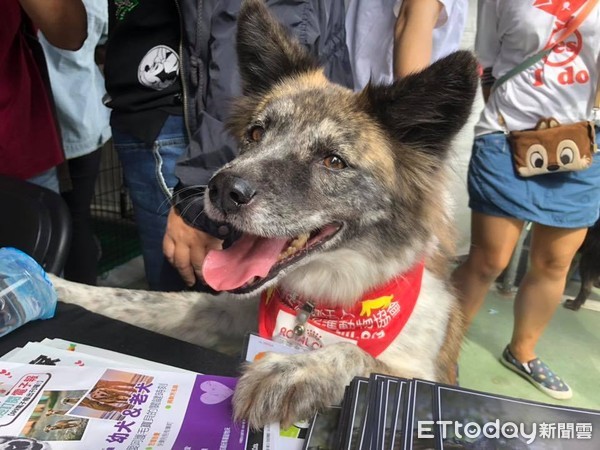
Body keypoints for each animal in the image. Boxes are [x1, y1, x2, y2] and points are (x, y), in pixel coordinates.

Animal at [52, 0, 478, 428]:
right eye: (256, 133)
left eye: (334, 161)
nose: (222, 189)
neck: (322, 304)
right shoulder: (224, 309)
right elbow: (143, 301)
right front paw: (52, 286)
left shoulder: (430, 379)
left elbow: (362, 357)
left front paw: (292, 370)